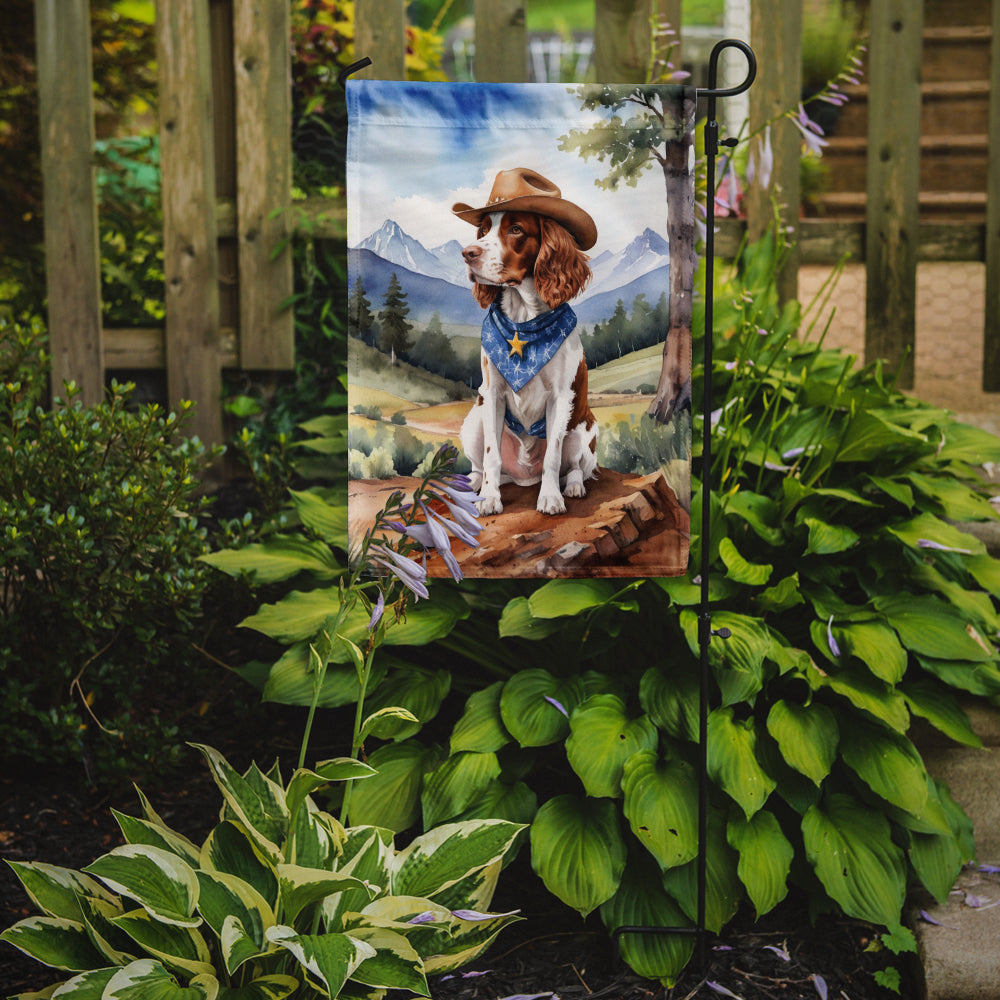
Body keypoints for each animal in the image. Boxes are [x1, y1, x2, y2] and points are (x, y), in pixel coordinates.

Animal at [456, 169, 600, 516]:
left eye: (516, 229)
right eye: (483, 230)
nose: (468, 253)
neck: (523, 321)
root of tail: (523, 477)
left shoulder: (560, 398)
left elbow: (553, 458)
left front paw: (551, 498)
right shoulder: (492, 394)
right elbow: (491, 457)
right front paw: (490, 498)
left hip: (584, 430)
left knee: (576, 466)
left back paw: (572, 487)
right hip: (474, 421)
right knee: (480, 464)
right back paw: (472, 484)